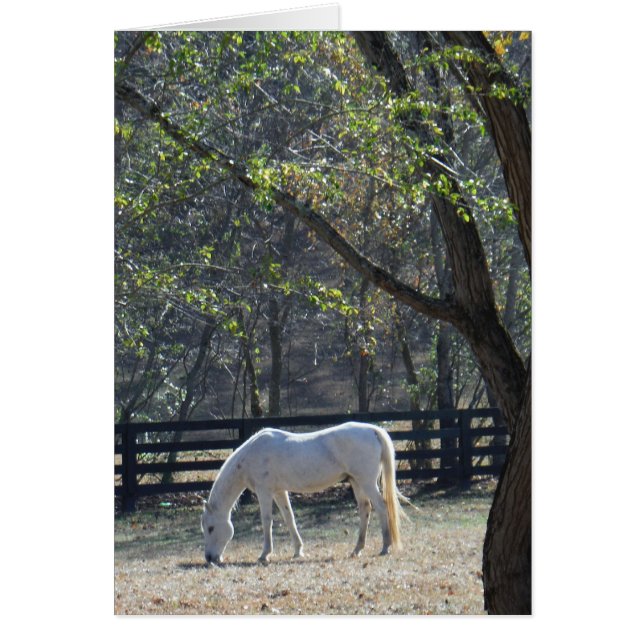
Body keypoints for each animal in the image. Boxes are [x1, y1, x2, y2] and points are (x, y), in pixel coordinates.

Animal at [201, 421, 407, 565]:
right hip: (356, 482)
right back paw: (357, 549)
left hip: (367, 482)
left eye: (210, 528)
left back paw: (385, 546)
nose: (210, 558)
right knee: (365, 509)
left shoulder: (264, 491)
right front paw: (298, 551)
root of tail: (373, 430)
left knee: (381, 507)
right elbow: (289, 518)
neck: (252, 454)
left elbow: (266, 521)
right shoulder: (279, 491)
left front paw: (265, 554)